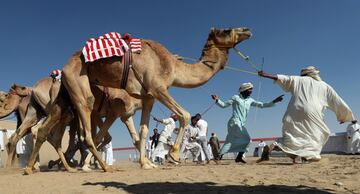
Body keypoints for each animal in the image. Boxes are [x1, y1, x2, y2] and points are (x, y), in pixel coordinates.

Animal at [38, 26, 250, 173]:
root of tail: (64, 68)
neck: (173, 66)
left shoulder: (147, 98)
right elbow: (184, 114)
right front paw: (173, 154)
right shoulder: (156, 89)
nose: (247, 30)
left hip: (67, 102)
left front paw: (147, 164)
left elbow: (142, 132)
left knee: (53, 132)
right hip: (79, 86)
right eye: (226, 30)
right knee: (86, 132)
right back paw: (102, 167)